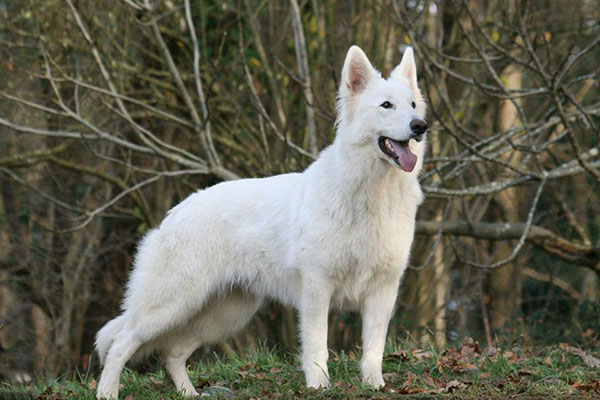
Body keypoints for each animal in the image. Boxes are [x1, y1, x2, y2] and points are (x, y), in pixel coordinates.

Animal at [95, 45, 426, 398]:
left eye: (413, 105)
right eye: (386, 105)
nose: (420, 125)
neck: (371, 192)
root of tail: (176, 212)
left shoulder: (383, 291)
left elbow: (373, 348)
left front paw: (374, 385)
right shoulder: (316, 289)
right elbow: (317, 344)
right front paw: (319, 385)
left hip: (222, 315)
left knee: (173, 352)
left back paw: (188, 393)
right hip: (171, 305)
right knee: (120, 344)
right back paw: (107, 391)